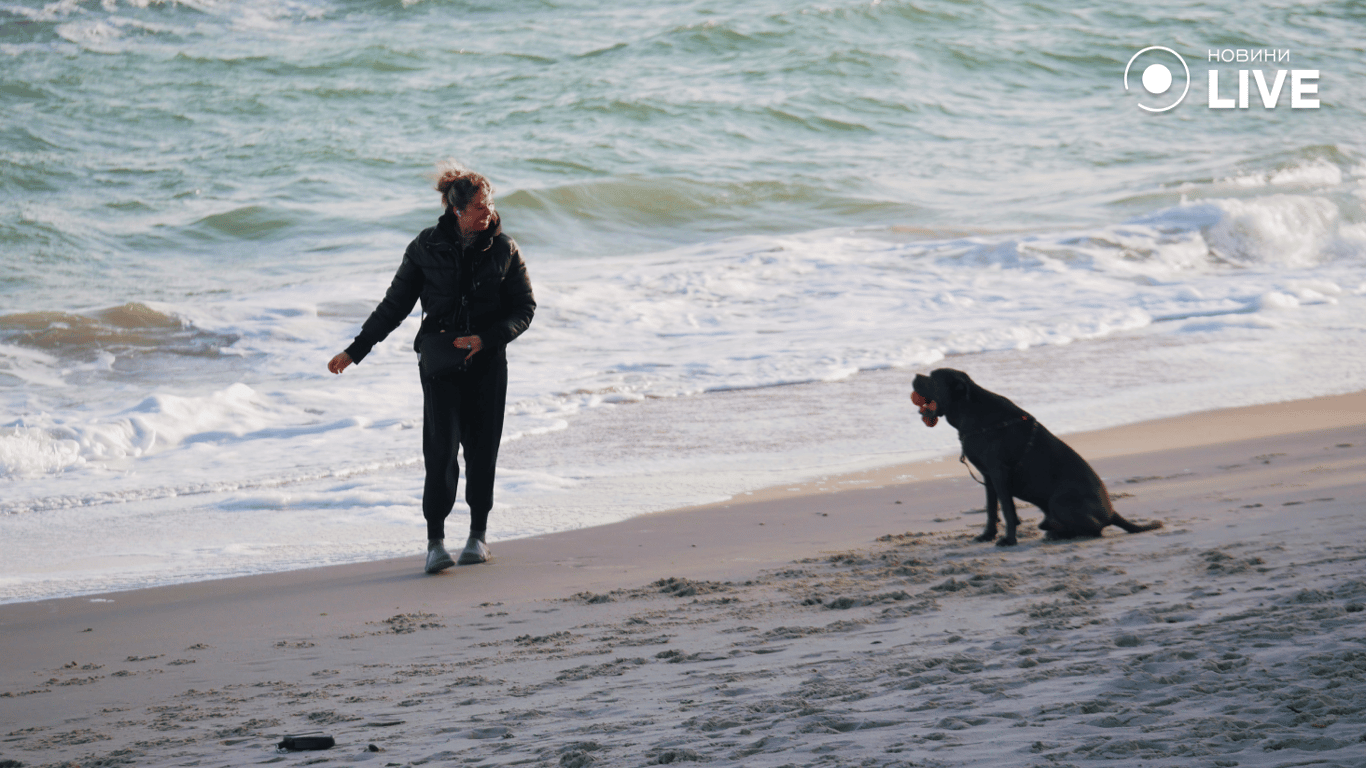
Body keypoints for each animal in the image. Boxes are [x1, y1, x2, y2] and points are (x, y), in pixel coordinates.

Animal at [912, 368, 1158, 543]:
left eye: (932, 377)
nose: (914, 375)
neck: (969, 409)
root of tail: (1113, 512)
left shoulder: (998, 473)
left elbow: (1007, 509)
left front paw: (1009, 540)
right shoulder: (988, 476)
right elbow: (992, 509)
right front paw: (987, 535)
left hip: (1059, 500)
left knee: (1095, 530)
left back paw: (1059, 534)